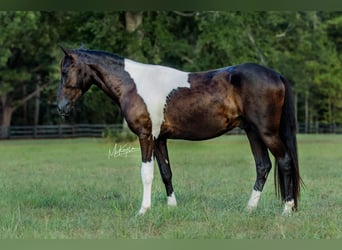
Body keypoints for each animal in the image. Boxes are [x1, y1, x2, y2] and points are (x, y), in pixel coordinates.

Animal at [56, 47, 302, 216]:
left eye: (65, 71)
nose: (60, 107)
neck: (133, 85)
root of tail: (276, 75)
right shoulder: (159, 139)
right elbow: (166, 172)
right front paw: (172, 207)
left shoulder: (146, 136)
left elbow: (147, 173)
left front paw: (143, 210)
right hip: (253, 132)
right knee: (263, 166)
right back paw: (249, 208)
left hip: (266, 132)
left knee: (285, 162)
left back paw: (287, 209)